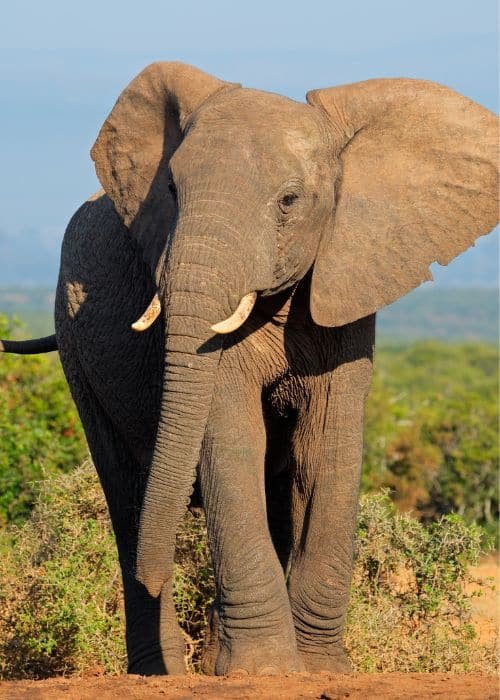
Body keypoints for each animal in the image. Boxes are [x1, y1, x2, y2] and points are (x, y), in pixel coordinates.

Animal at [1, 62, 497, 676]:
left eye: (289, 200)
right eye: (171, 190)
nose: (156, 573)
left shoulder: (348, 283)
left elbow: (326, 446)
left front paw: (318, 670)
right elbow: (232, 437)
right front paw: (264, 671)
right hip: (74, 342)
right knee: (125, 490)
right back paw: (162, 670)